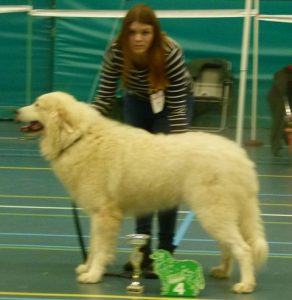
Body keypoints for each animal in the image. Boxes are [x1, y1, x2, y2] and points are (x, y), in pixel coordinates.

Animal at [14, 91, 268, 292]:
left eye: (37, 104)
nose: (15, 111)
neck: (77, 138)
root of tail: (239, 155)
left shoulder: (105, 215)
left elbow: (100, 249)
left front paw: (93, 275)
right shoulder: (97, 215)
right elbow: (94, 245)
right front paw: (87, 268)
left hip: (213, 212)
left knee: (243, 248)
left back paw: (245, 285)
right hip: (219, 214)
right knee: (228, 246)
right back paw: (222, 271)